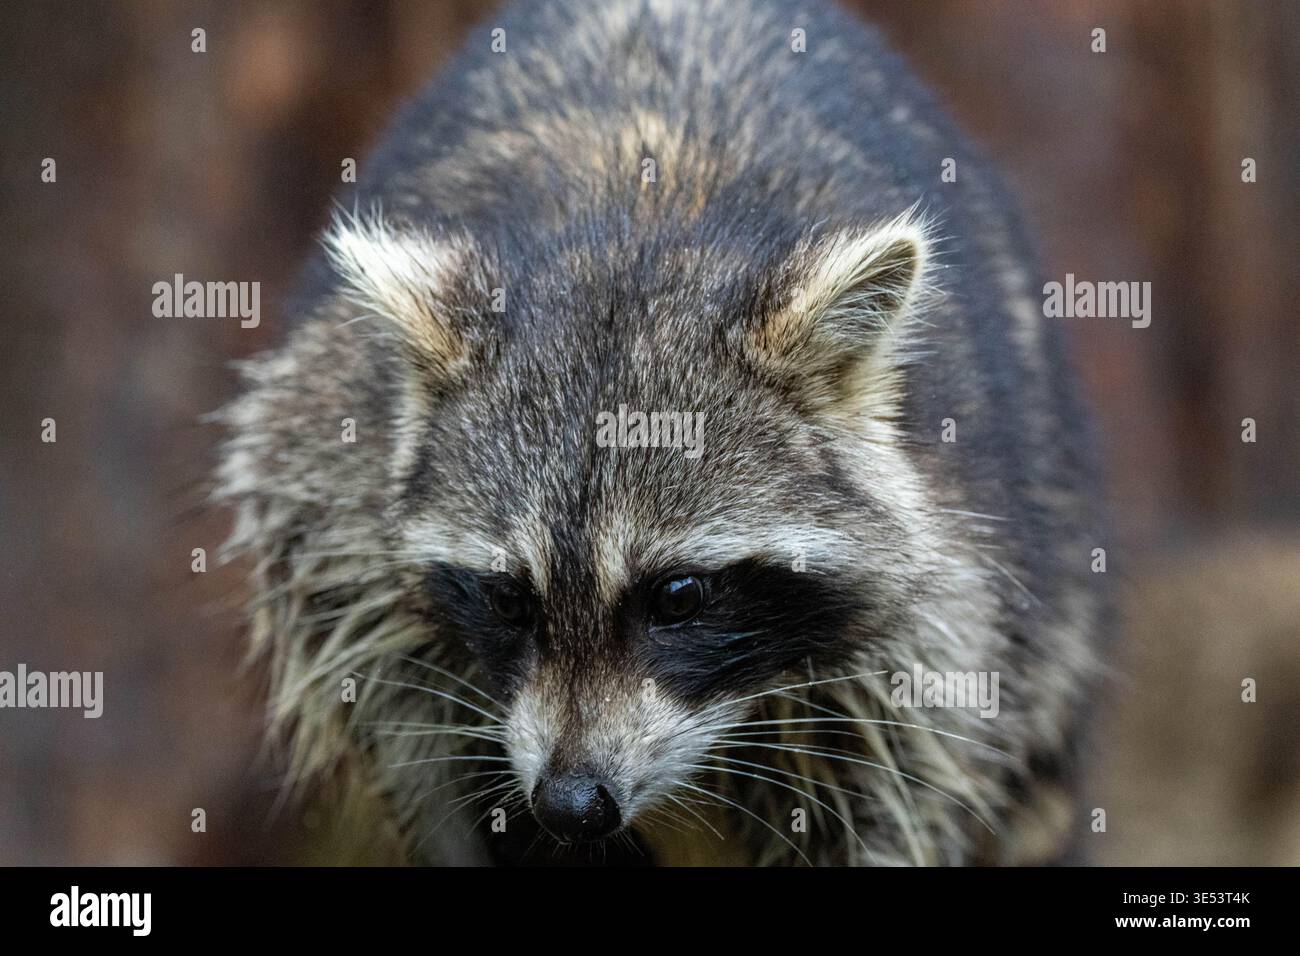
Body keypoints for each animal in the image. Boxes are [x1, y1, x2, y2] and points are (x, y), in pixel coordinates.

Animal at [215, 0, 1106, 866]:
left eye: (679, 595)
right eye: (507, 596)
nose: (571, 805)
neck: (637, 224)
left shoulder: (940, 607)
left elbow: (893, 779)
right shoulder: (329, 481)